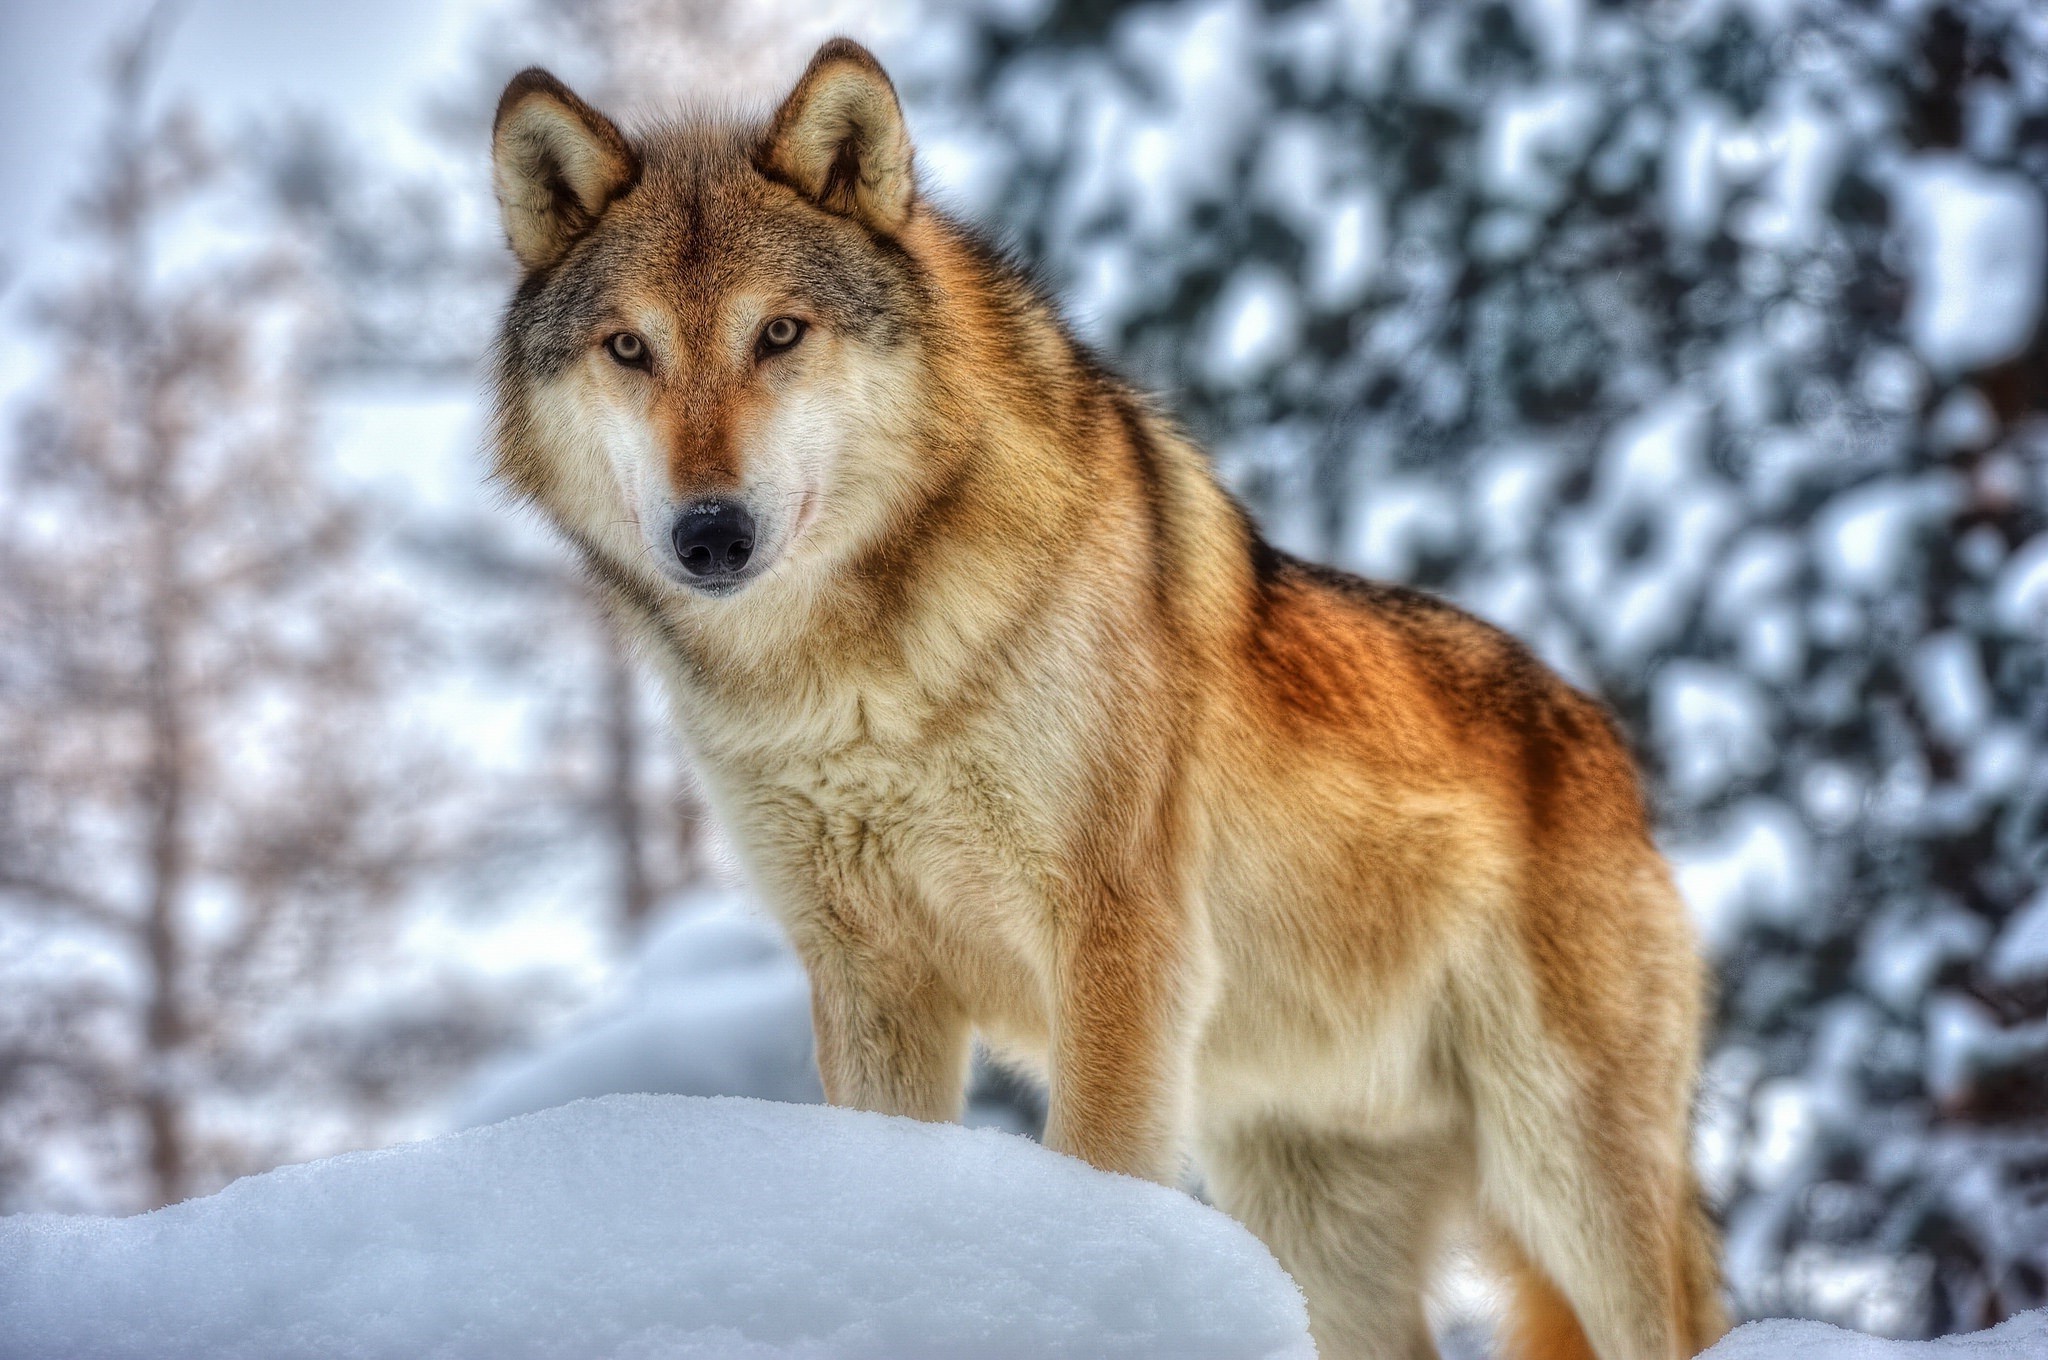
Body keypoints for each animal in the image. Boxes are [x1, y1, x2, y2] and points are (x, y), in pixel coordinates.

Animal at [487, 39, 1728, 1360]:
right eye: (628, 348)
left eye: (778, 332)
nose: (709, 532)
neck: (850, 686)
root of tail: (1607, 750)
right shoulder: (869, 973)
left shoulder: (1115, 939)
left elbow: (1097, 1161)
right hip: (1320, 1230)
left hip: (1566, 1177)